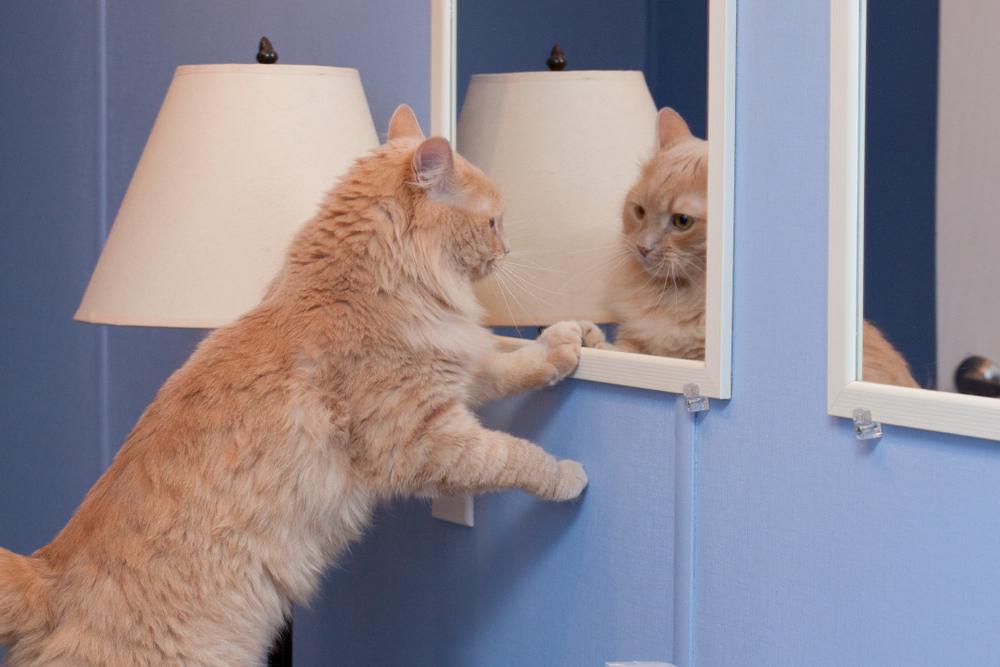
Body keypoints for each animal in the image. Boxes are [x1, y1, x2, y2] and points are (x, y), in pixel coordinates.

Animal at [0, 104, 588, 667]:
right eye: (493, 222)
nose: (507, 248)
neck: (364, 289)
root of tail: (45, 573)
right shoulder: (419, 439)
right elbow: (512, 456)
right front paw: (564, 474)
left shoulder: (455, 370)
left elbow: (512, 363)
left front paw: (569, 339)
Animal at [584, 109, 708, 360]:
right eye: (640, 211)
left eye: (682, 221)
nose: (643, 248)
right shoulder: (636, 344)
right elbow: (625, 349)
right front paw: (596, 342)